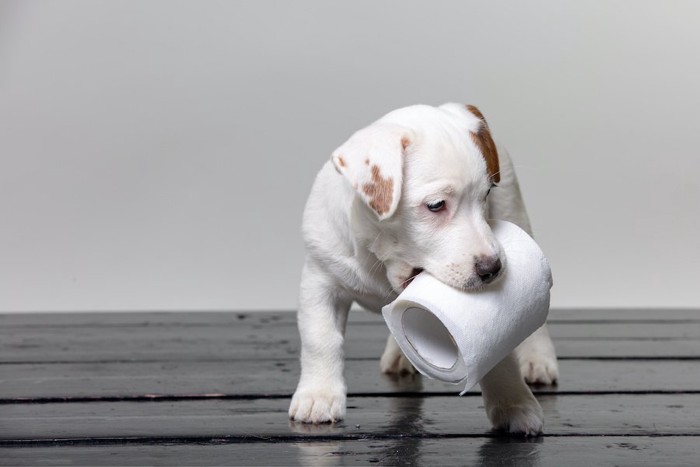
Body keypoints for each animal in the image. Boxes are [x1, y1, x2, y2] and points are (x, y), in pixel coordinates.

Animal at [286, 102, 556, 436]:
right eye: (436, 205)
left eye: (485, 196)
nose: (492, 268)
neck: (380, 259)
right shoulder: (320, 279)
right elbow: (321, 339)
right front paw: (318, 396)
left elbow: (499, 355)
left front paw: (513, 402)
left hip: (515, 211)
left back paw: (538, 358)